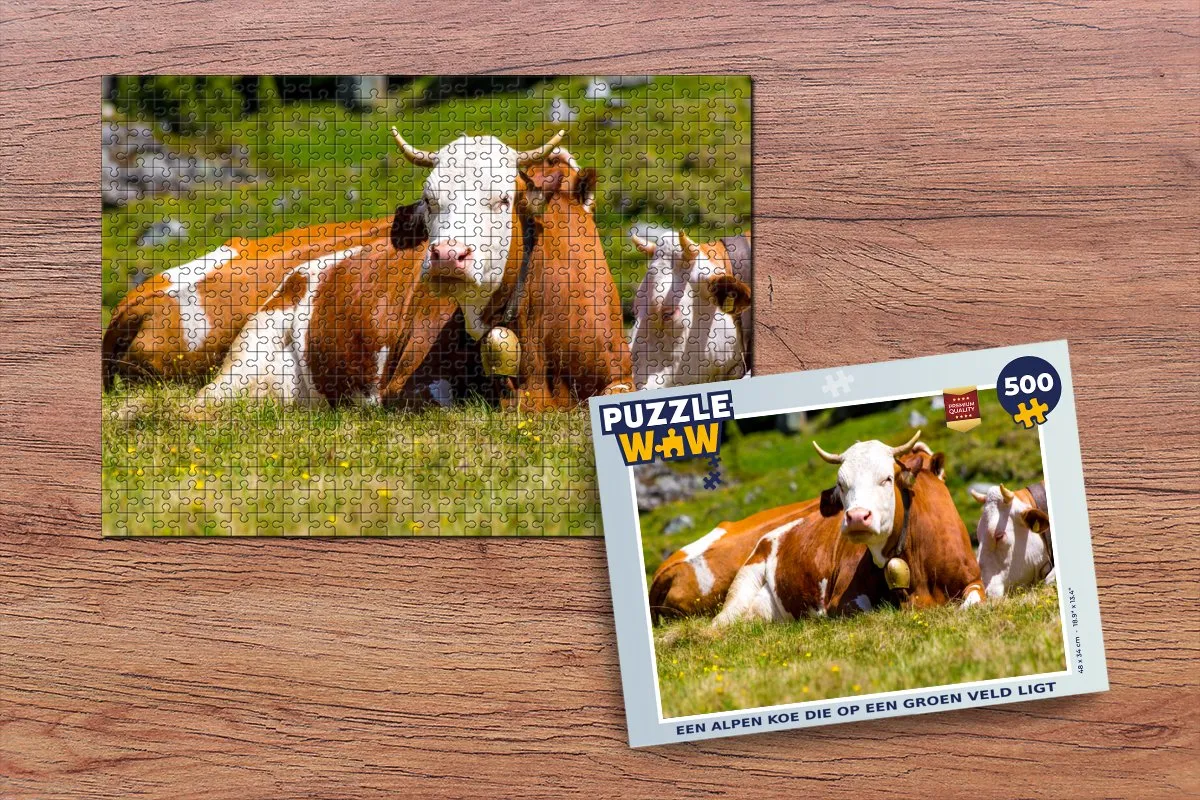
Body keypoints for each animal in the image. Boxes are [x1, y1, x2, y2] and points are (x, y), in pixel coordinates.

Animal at [712, 432, 984, 627]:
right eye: (841, 484)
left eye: (888, 478)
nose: (856, 517)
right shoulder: (843, 600)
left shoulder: (975, 582)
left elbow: (971, 605)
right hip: (742, 587)